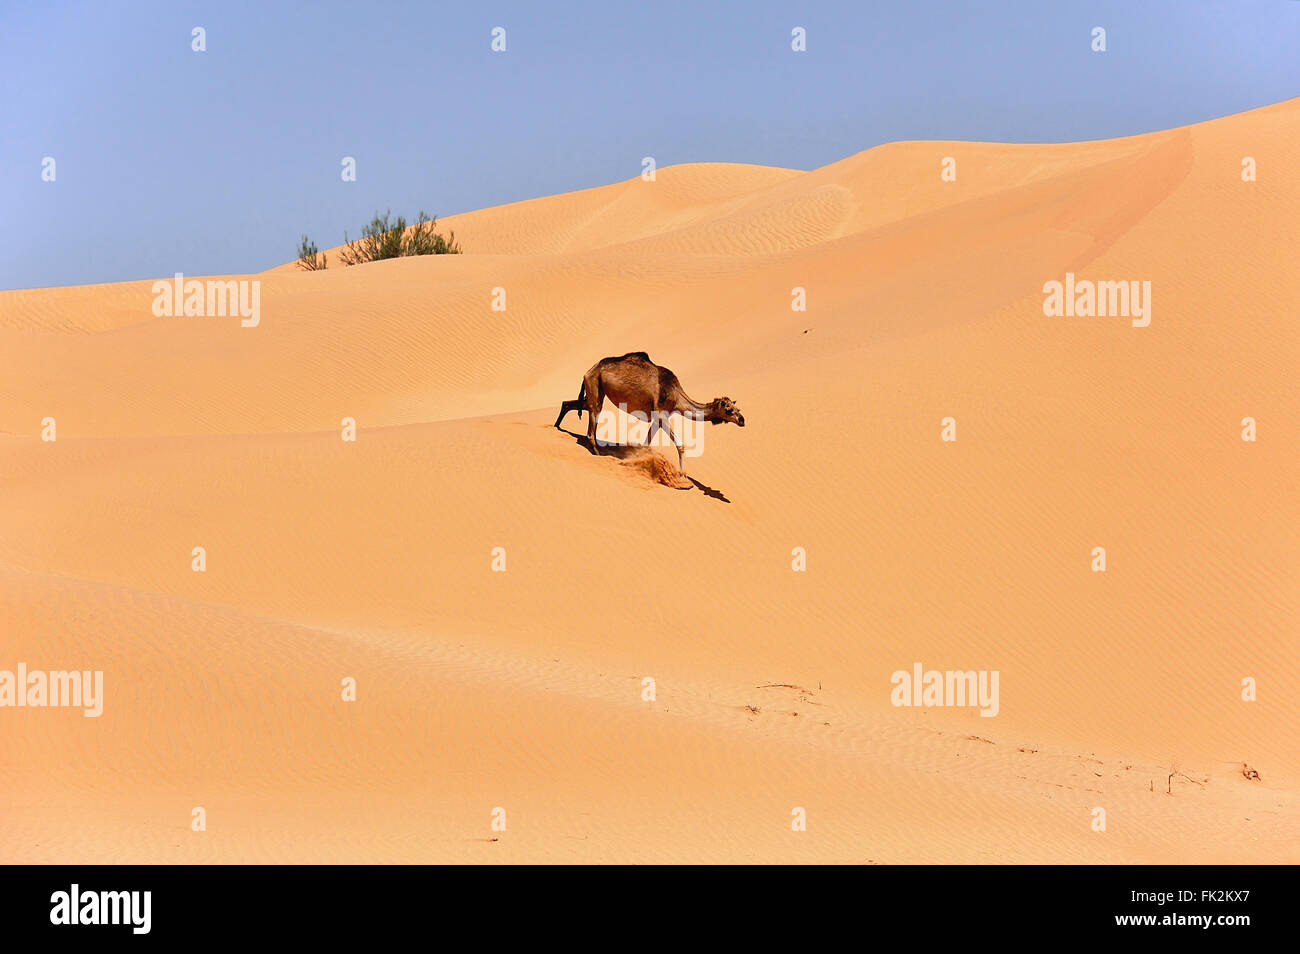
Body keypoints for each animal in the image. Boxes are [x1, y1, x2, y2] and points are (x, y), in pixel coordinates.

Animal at [553, 353, 748, 475]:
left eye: (737, 408)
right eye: (728, 409)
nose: (742, 420)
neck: (677, 395)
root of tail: (591, 369)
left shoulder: (657, 419)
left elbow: (646, 443)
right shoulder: (661, 414)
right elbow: (680, 445)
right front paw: (683, 474)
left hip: (595, 389)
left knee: (570, 404)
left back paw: (557, 428)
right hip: (595, 386)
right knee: (592, 424)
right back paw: (597, 453)